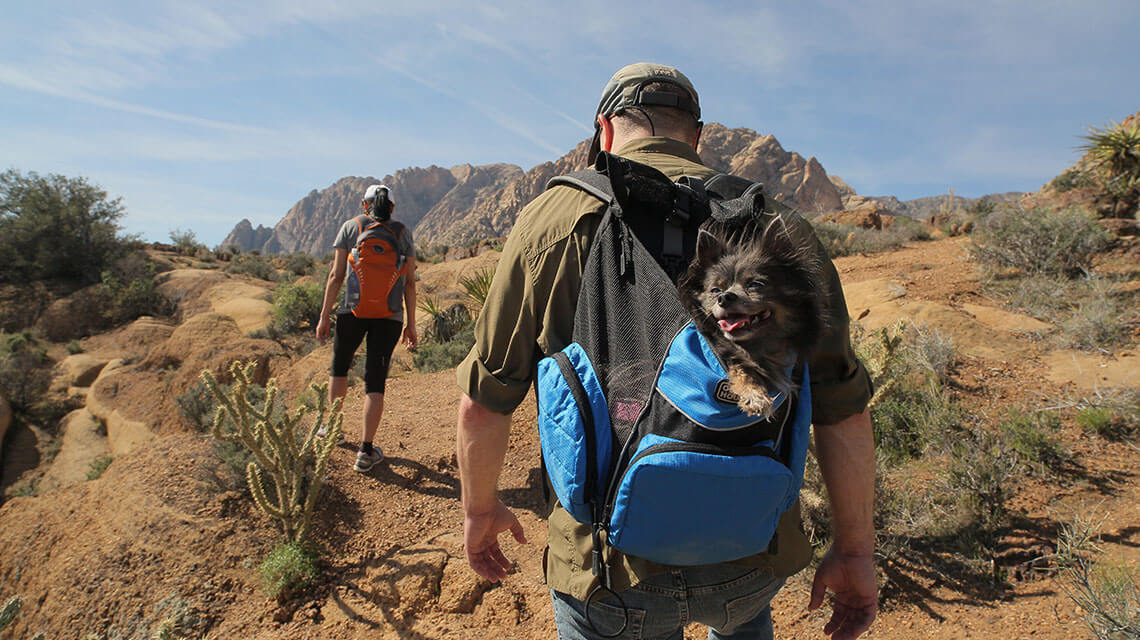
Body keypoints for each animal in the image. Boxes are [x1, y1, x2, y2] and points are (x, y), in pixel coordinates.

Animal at [674, 212, 829, 417]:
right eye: (715, 290)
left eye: (754, 284)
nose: (724, 297)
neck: (759, 348)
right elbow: (740, 367)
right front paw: (754, 395)